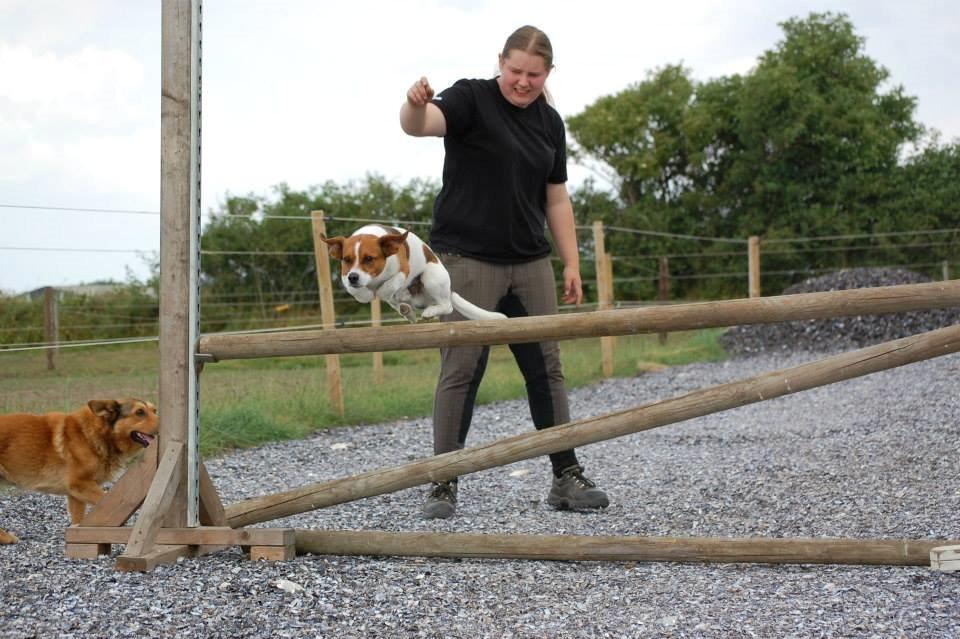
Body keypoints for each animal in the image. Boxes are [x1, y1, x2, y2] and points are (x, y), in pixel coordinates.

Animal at [0, 398, 159, 544]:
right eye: (139, 412)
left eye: (154, 410)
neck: (97, 435)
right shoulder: (79, 484)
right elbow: (108, 501)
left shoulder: (76, 494)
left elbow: (78, 519)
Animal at [318, 226, 506, 324]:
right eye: (346, 260)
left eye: (369, 259)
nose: (354, 277)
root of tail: (450, 290)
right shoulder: (346, 278)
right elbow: (359, 293)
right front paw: (367, 292)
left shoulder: (402, 271)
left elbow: (387, 286)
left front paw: (382, 291)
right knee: (408, 305)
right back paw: (406, 309)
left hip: (431, 278)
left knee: (447, 306)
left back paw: (425, 310)